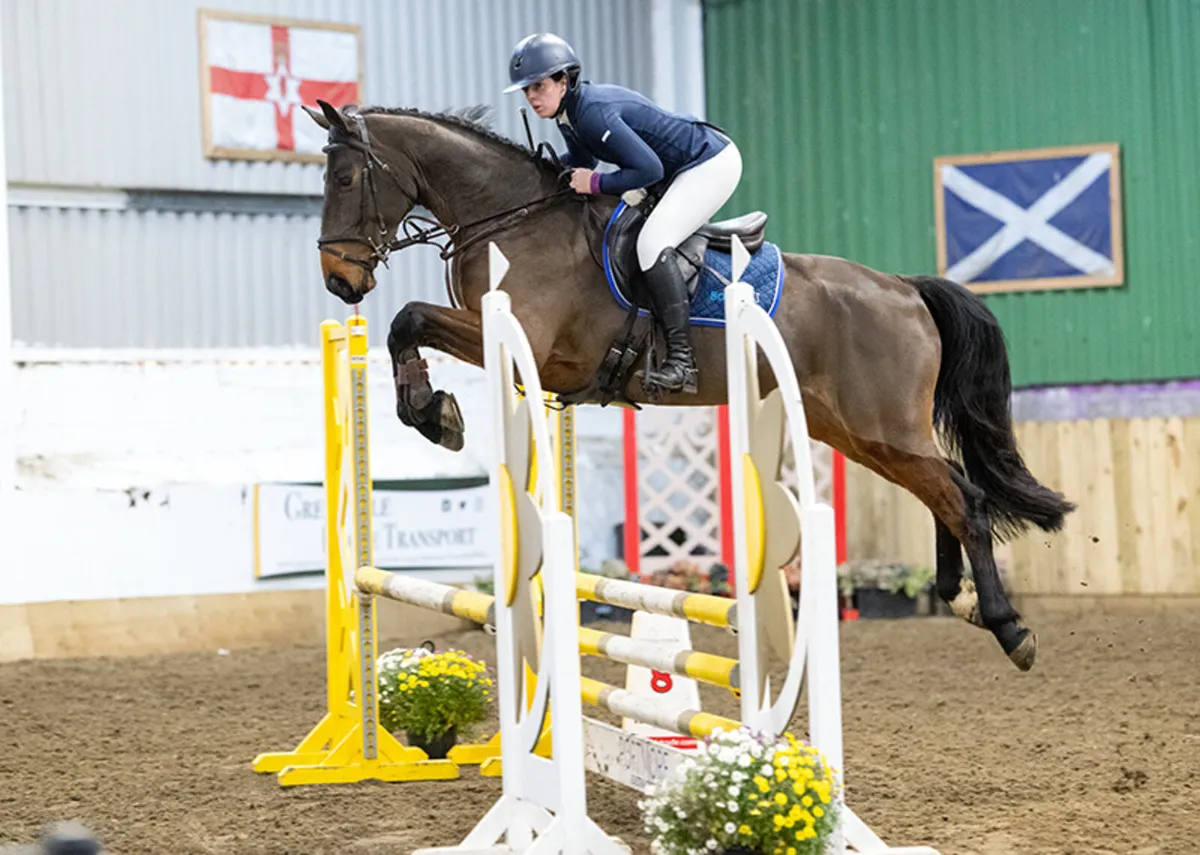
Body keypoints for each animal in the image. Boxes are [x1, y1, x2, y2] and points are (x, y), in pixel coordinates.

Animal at [303, 99, 1075, 672]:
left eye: (343, 181)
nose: (339, 280)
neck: (510, 219)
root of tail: (905, 288)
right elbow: (406, 326)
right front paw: (432, 410)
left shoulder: (531, 348)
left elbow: (407, 318)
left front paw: (433, 412)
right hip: (858, 430)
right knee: (946, 489)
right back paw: (956, 596)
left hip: (879, 424)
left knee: (963, 495)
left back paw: (1009, 627)